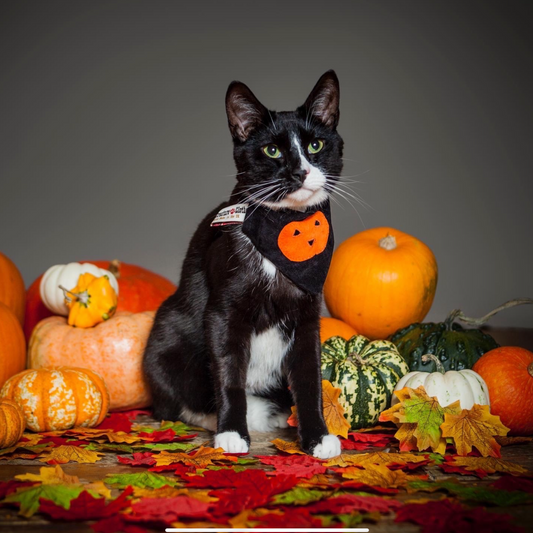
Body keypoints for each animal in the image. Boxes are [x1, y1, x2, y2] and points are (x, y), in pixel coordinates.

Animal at [143, 70, 344, 460]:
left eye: (315, 145)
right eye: (272, 150)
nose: (300, 172)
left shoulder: (308, 315)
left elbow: (309, 378)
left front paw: (317, 437)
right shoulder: (224, 311)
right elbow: (228, 372)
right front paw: (231, 432)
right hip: (164, 335)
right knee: (170, 402)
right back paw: (213, 417)